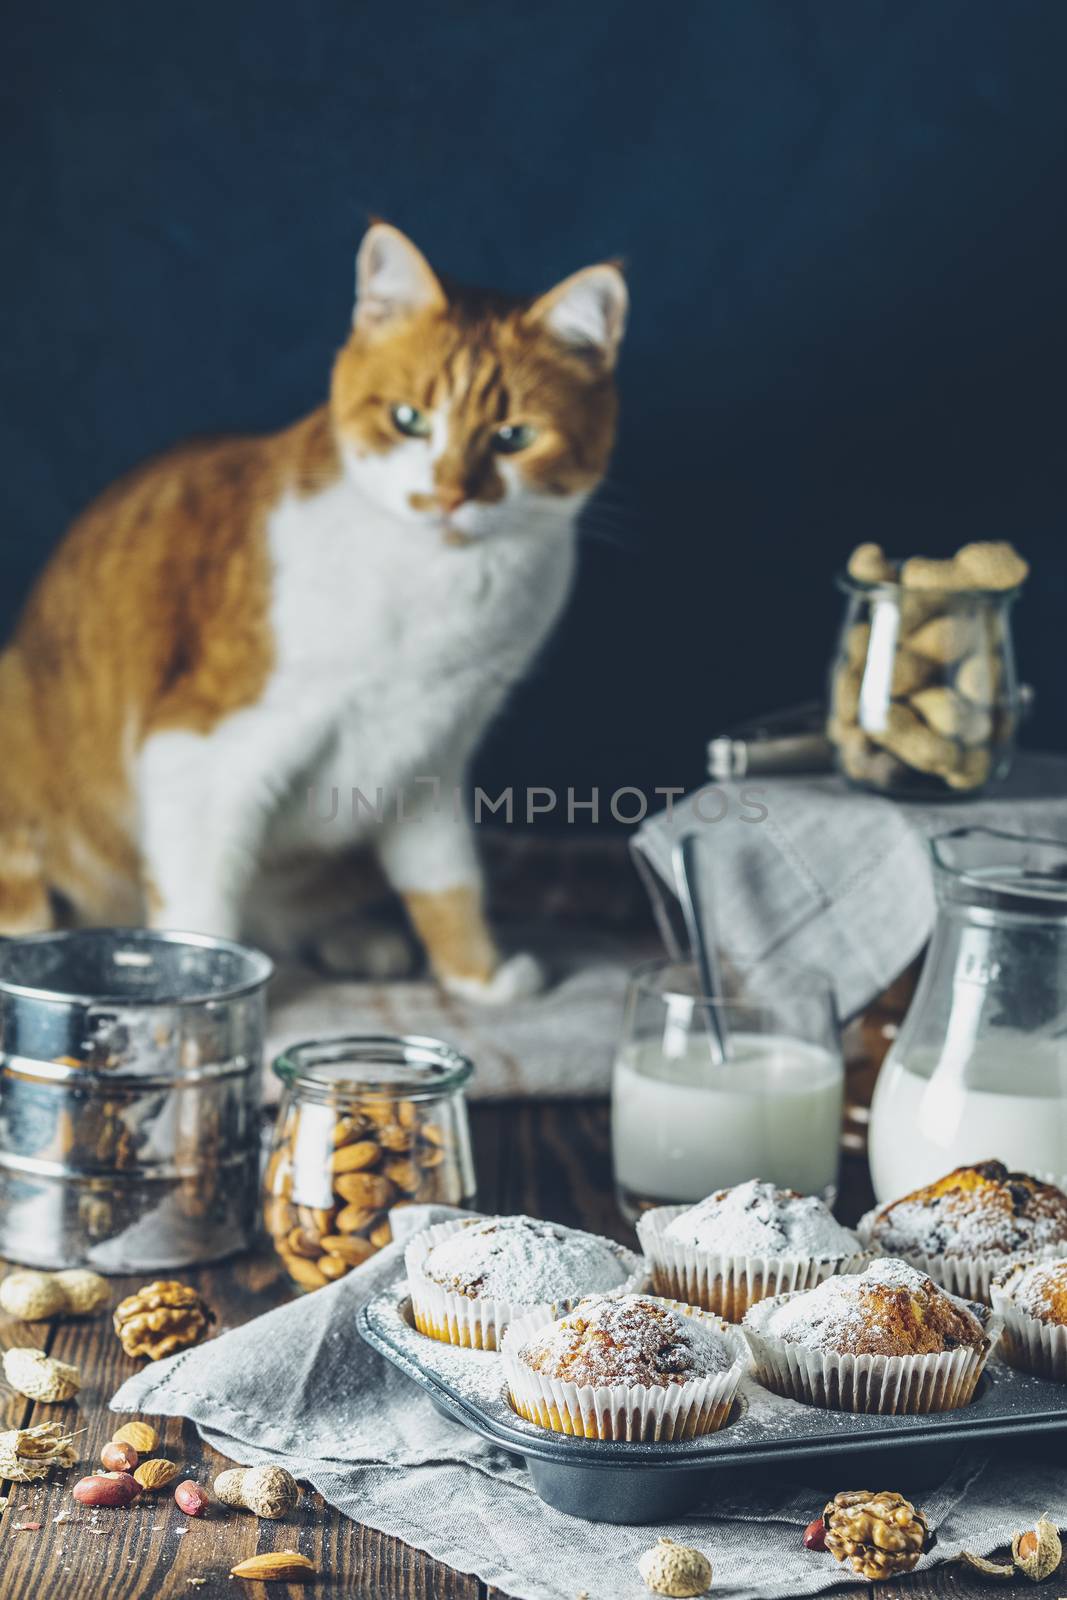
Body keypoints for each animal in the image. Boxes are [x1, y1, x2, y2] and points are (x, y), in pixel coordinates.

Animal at [0, 225, 627, 998]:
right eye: (408, 420)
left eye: (514, 436)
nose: (450, 495)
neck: (440, 591)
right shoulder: (198, 748)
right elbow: (199, 907)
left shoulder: (435, 754)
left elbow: (446, 880)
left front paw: (476, 979)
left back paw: (360, 941)